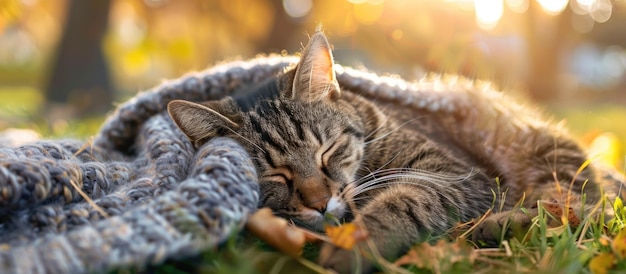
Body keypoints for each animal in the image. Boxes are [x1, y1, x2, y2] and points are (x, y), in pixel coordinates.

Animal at [167, 30, 616, 272]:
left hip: (536, 152)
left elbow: (406, 200)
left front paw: (354, 245)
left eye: (327, 151)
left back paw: (506, 224)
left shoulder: (454, 174)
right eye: (276, 176)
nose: (319, 203)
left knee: (581, 208)